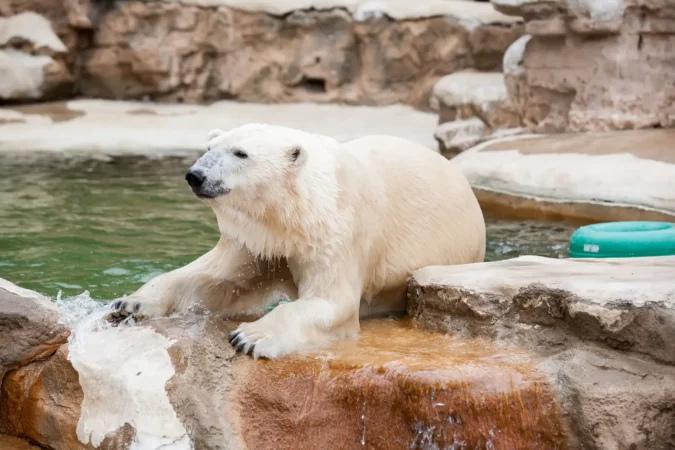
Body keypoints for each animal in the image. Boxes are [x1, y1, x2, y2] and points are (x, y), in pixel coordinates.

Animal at [110, 124, 486, 359]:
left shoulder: (335, 229)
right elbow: (216, 279)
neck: (291, 214)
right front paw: (131, 302)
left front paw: (250, 337)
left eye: (240, 153)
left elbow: (332, 300)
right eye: (209, 148)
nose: (196, 175)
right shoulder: (257, 240)